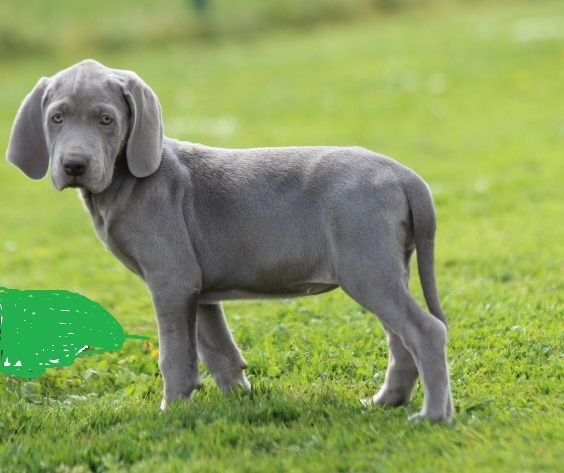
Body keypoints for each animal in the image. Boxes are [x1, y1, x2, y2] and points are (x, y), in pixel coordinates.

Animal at [6, 60, 453, 422]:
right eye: (56, 118)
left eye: (106, 120)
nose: (74, 165)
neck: (123, 182)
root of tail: (405, 175)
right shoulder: (198, 288)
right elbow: (216, 349)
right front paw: (238, 398)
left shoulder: (172, 279)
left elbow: (175, 355)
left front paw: (171, 411)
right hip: (387, 267)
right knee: (401, 340)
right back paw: (386, 402)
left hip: (366, 269)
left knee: (426, 331)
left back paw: (432, 416)